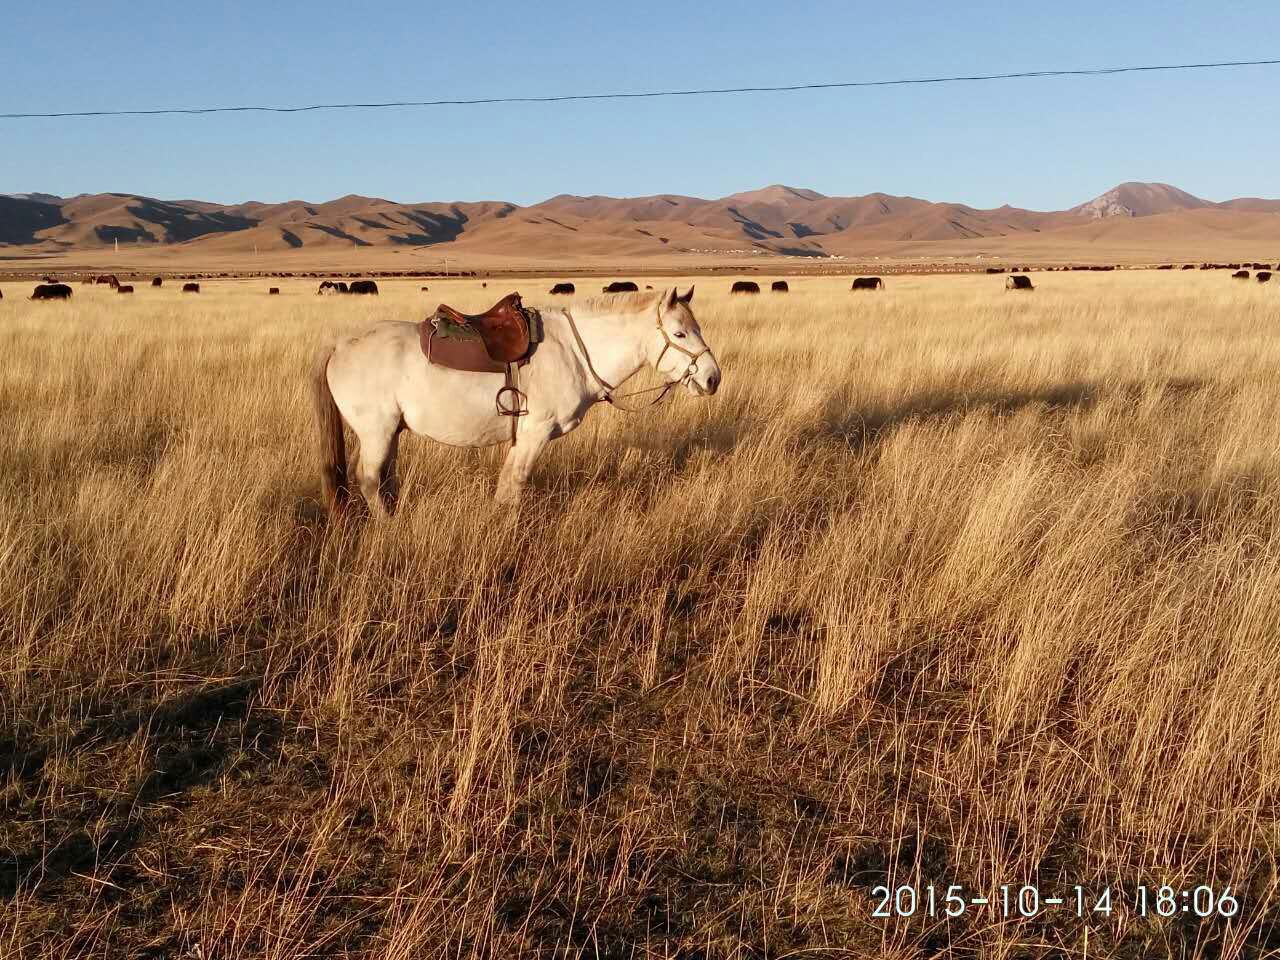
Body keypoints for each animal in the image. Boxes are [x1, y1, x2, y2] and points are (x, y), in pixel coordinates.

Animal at [309, 288, 721, 519]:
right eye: (680, 333)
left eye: (697, 328)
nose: (712, 378)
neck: (574, 350)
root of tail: (340, 345)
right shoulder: (535, 432)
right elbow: (515, 485)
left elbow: (507, 485)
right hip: (377, 432)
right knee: (370, 480)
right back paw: (388, 527)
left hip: (389, 433)